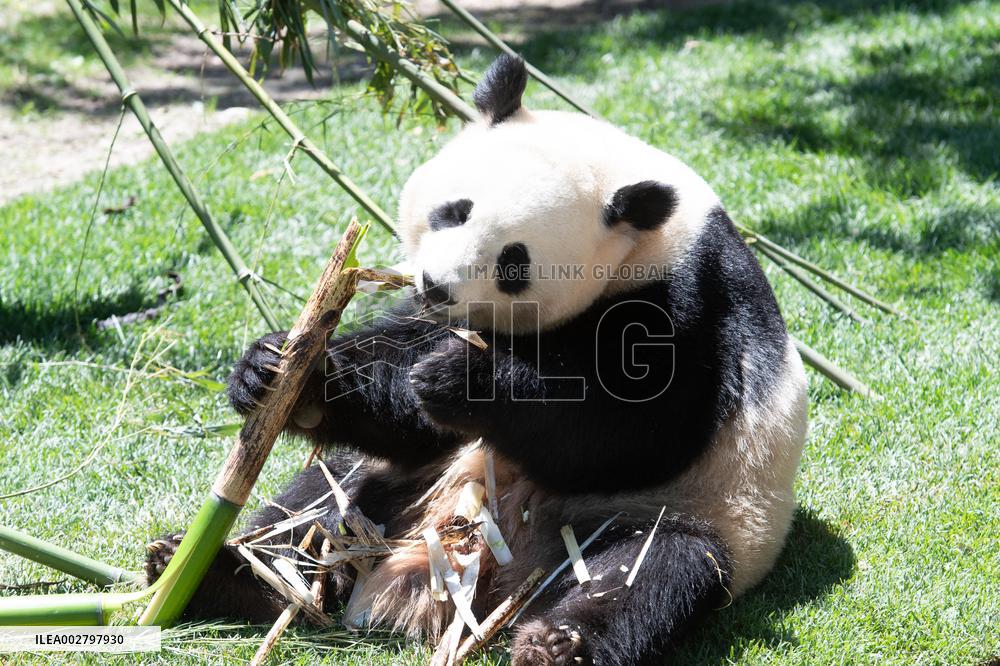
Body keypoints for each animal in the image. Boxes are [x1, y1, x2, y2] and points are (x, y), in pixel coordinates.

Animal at [146, 54, 808, 665]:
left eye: (515, 261)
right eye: (454, 210)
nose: (437, 287)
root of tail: (475, 582)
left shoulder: (686, 302)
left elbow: (632, 429)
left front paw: (464, 381)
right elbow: (402, 400)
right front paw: (280, 371)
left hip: (685, 514)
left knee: (648, 571)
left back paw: (556, 643)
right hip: (391, 492)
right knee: (316, 498)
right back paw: (231, 575)